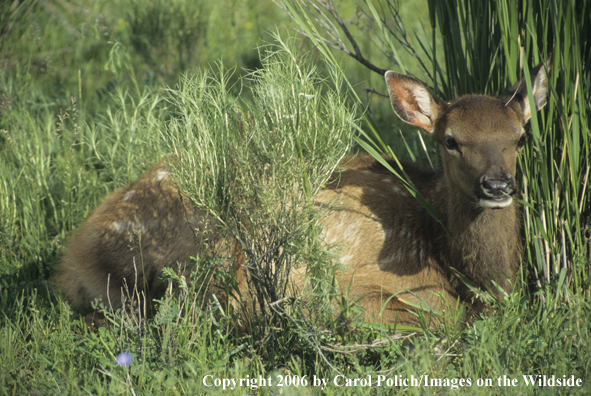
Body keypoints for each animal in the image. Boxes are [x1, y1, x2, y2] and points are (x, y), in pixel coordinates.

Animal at [53, 64, 548, 324]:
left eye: (520, 137)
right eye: (450, 140)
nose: (497, 184)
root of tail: (75, 254)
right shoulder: (367, 281)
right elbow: (433, 318)